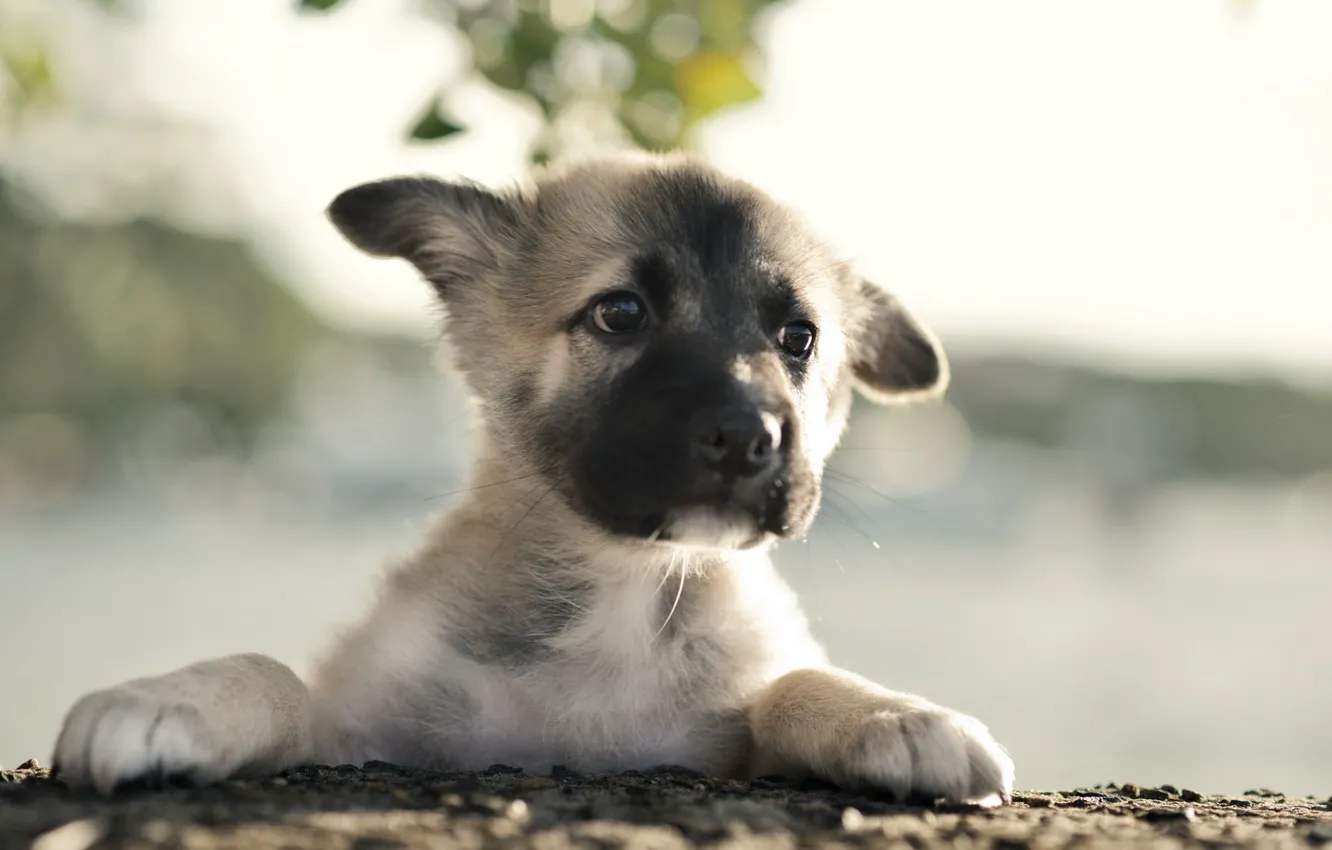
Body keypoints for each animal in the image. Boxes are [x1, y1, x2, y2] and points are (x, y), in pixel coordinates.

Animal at [49, 151, 1006, 804]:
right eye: (620, 312)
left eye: (798, 337)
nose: (748, 437)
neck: (624, 594)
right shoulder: (359, 729)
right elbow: (273, 674)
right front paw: (168, 699)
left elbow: (791, 684)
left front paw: (895, 715)